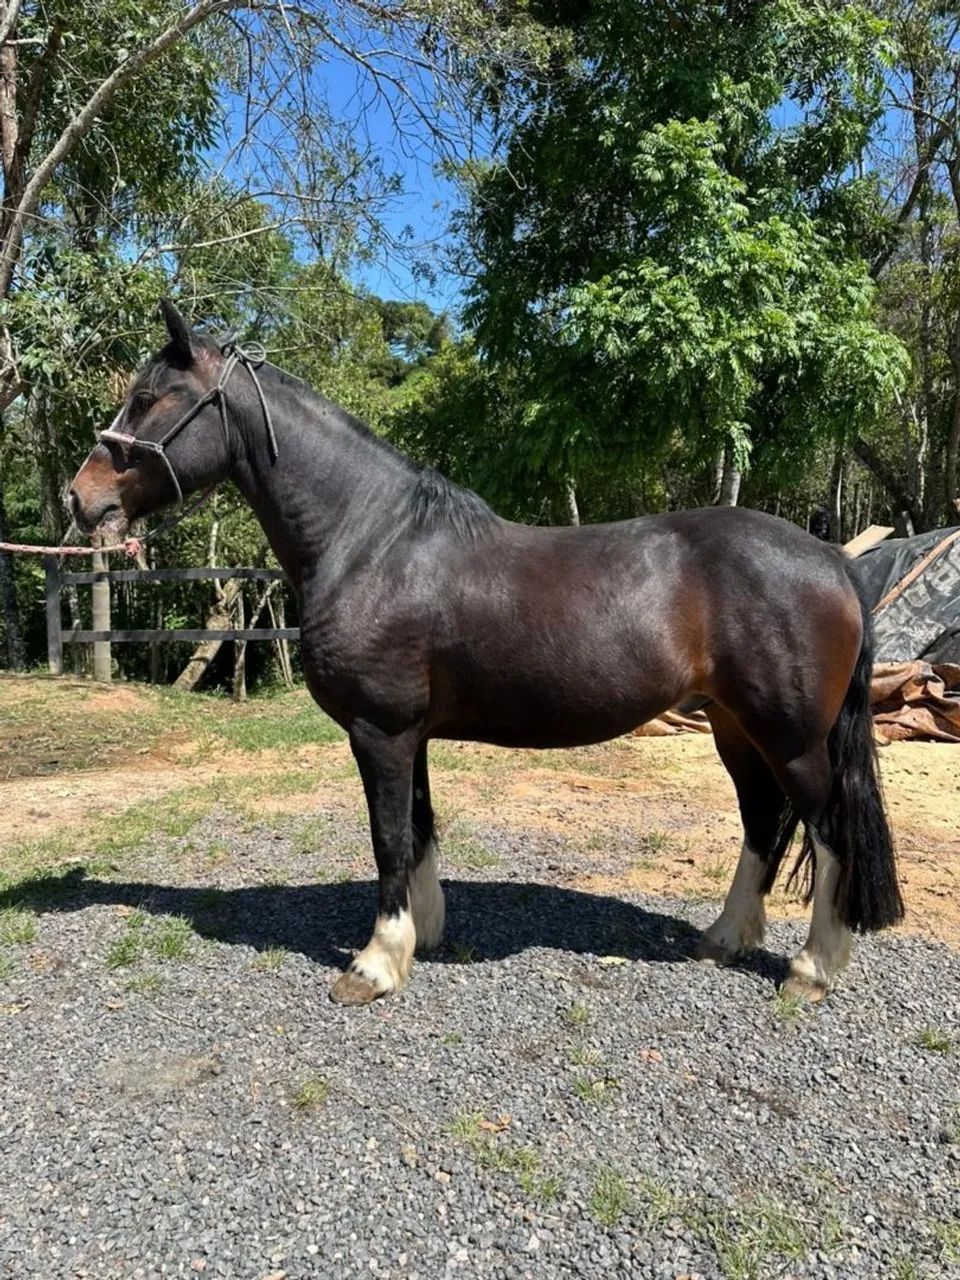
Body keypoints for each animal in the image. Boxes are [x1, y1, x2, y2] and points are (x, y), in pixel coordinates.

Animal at [69, 300, 904, 1007]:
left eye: (151, 397)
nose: (81, 499)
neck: (373, 540)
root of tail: (835, 563)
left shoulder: (379, 731)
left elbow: (388, 839)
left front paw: (373, 966)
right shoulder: (408, 734)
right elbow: (419, 829)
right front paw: (424, 936)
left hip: (791, 739)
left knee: (828, 831)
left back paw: (810, 969)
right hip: (735, 729)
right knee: (763, 821)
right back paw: (724, 938)